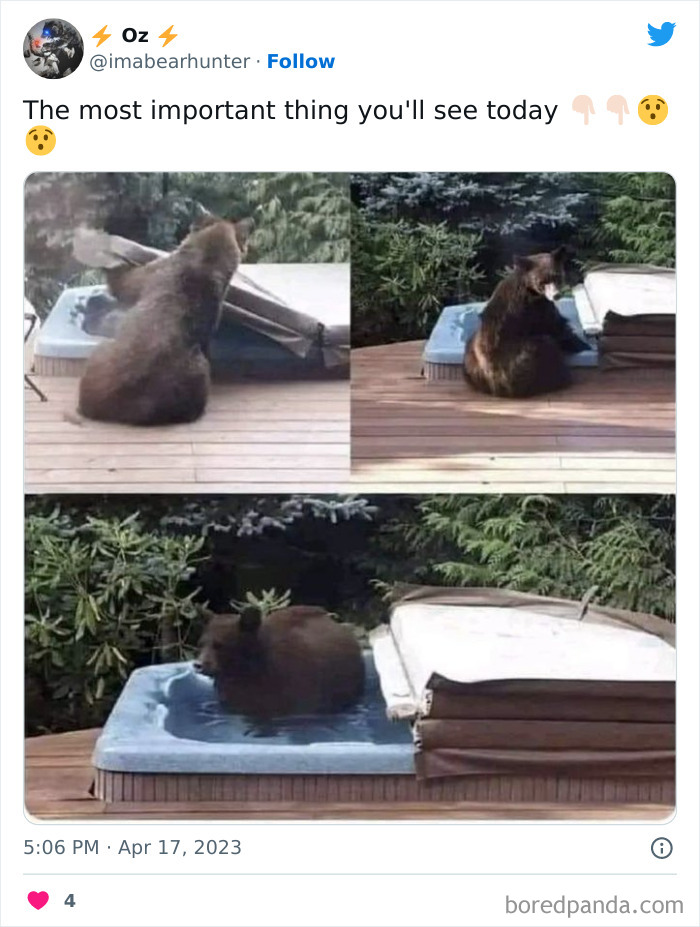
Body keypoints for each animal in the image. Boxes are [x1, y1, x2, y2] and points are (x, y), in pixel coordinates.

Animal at [463, 247, 590, 398]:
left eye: (557, 276)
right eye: (542, 281)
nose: (556, 295)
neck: (530, 289)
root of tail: (496, 387)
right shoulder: (536, 309)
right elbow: (557, 326)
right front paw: (583, 345)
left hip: (472, 353)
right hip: (521, 357)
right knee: (547, 349)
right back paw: (562, 378)